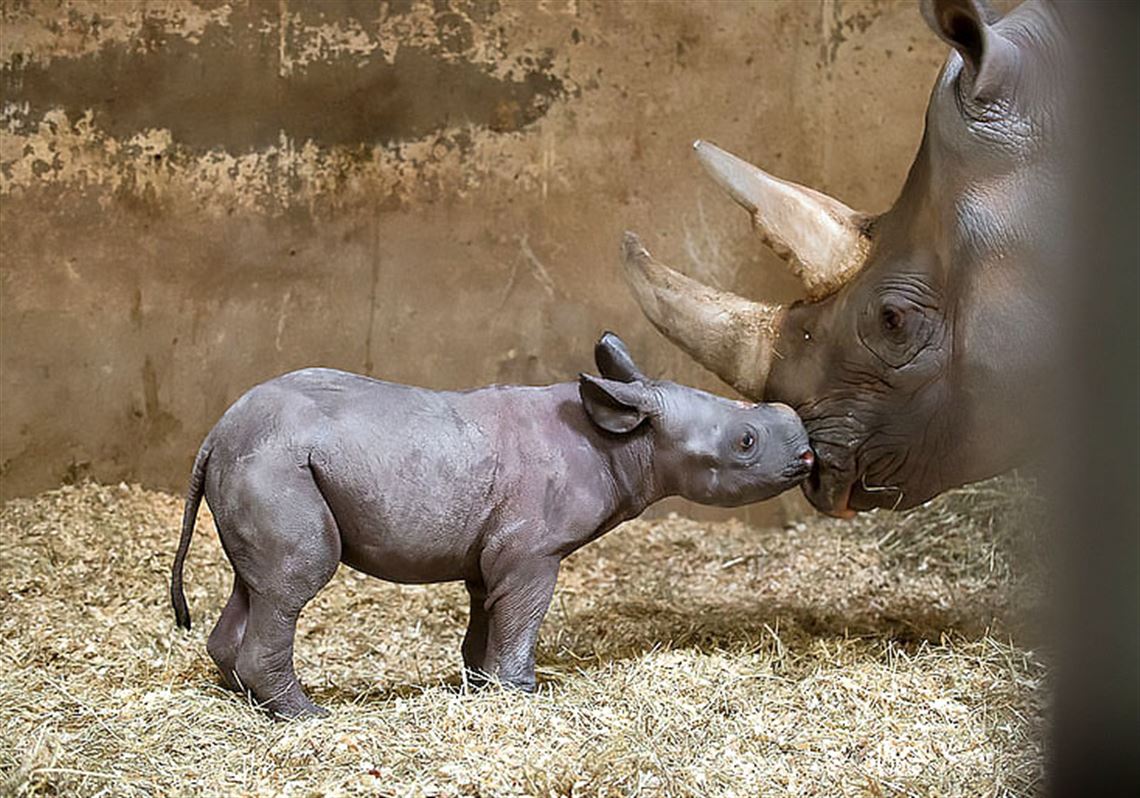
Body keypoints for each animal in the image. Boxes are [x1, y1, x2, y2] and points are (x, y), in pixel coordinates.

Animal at [168, 332, 811, 720]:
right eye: (746, 443)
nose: (807, 454)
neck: (626, 438)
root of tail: (216, 433)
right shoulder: (531, 549)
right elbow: (523, 613)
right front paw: (524, 692)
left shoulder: (494, 545)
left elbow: (486, 612)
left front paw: (480, 687)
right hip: (277, 465)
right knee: (295, 580)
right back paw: (308, 716)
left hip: (262, 462)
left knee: (256, 584)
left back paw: (244, 701)